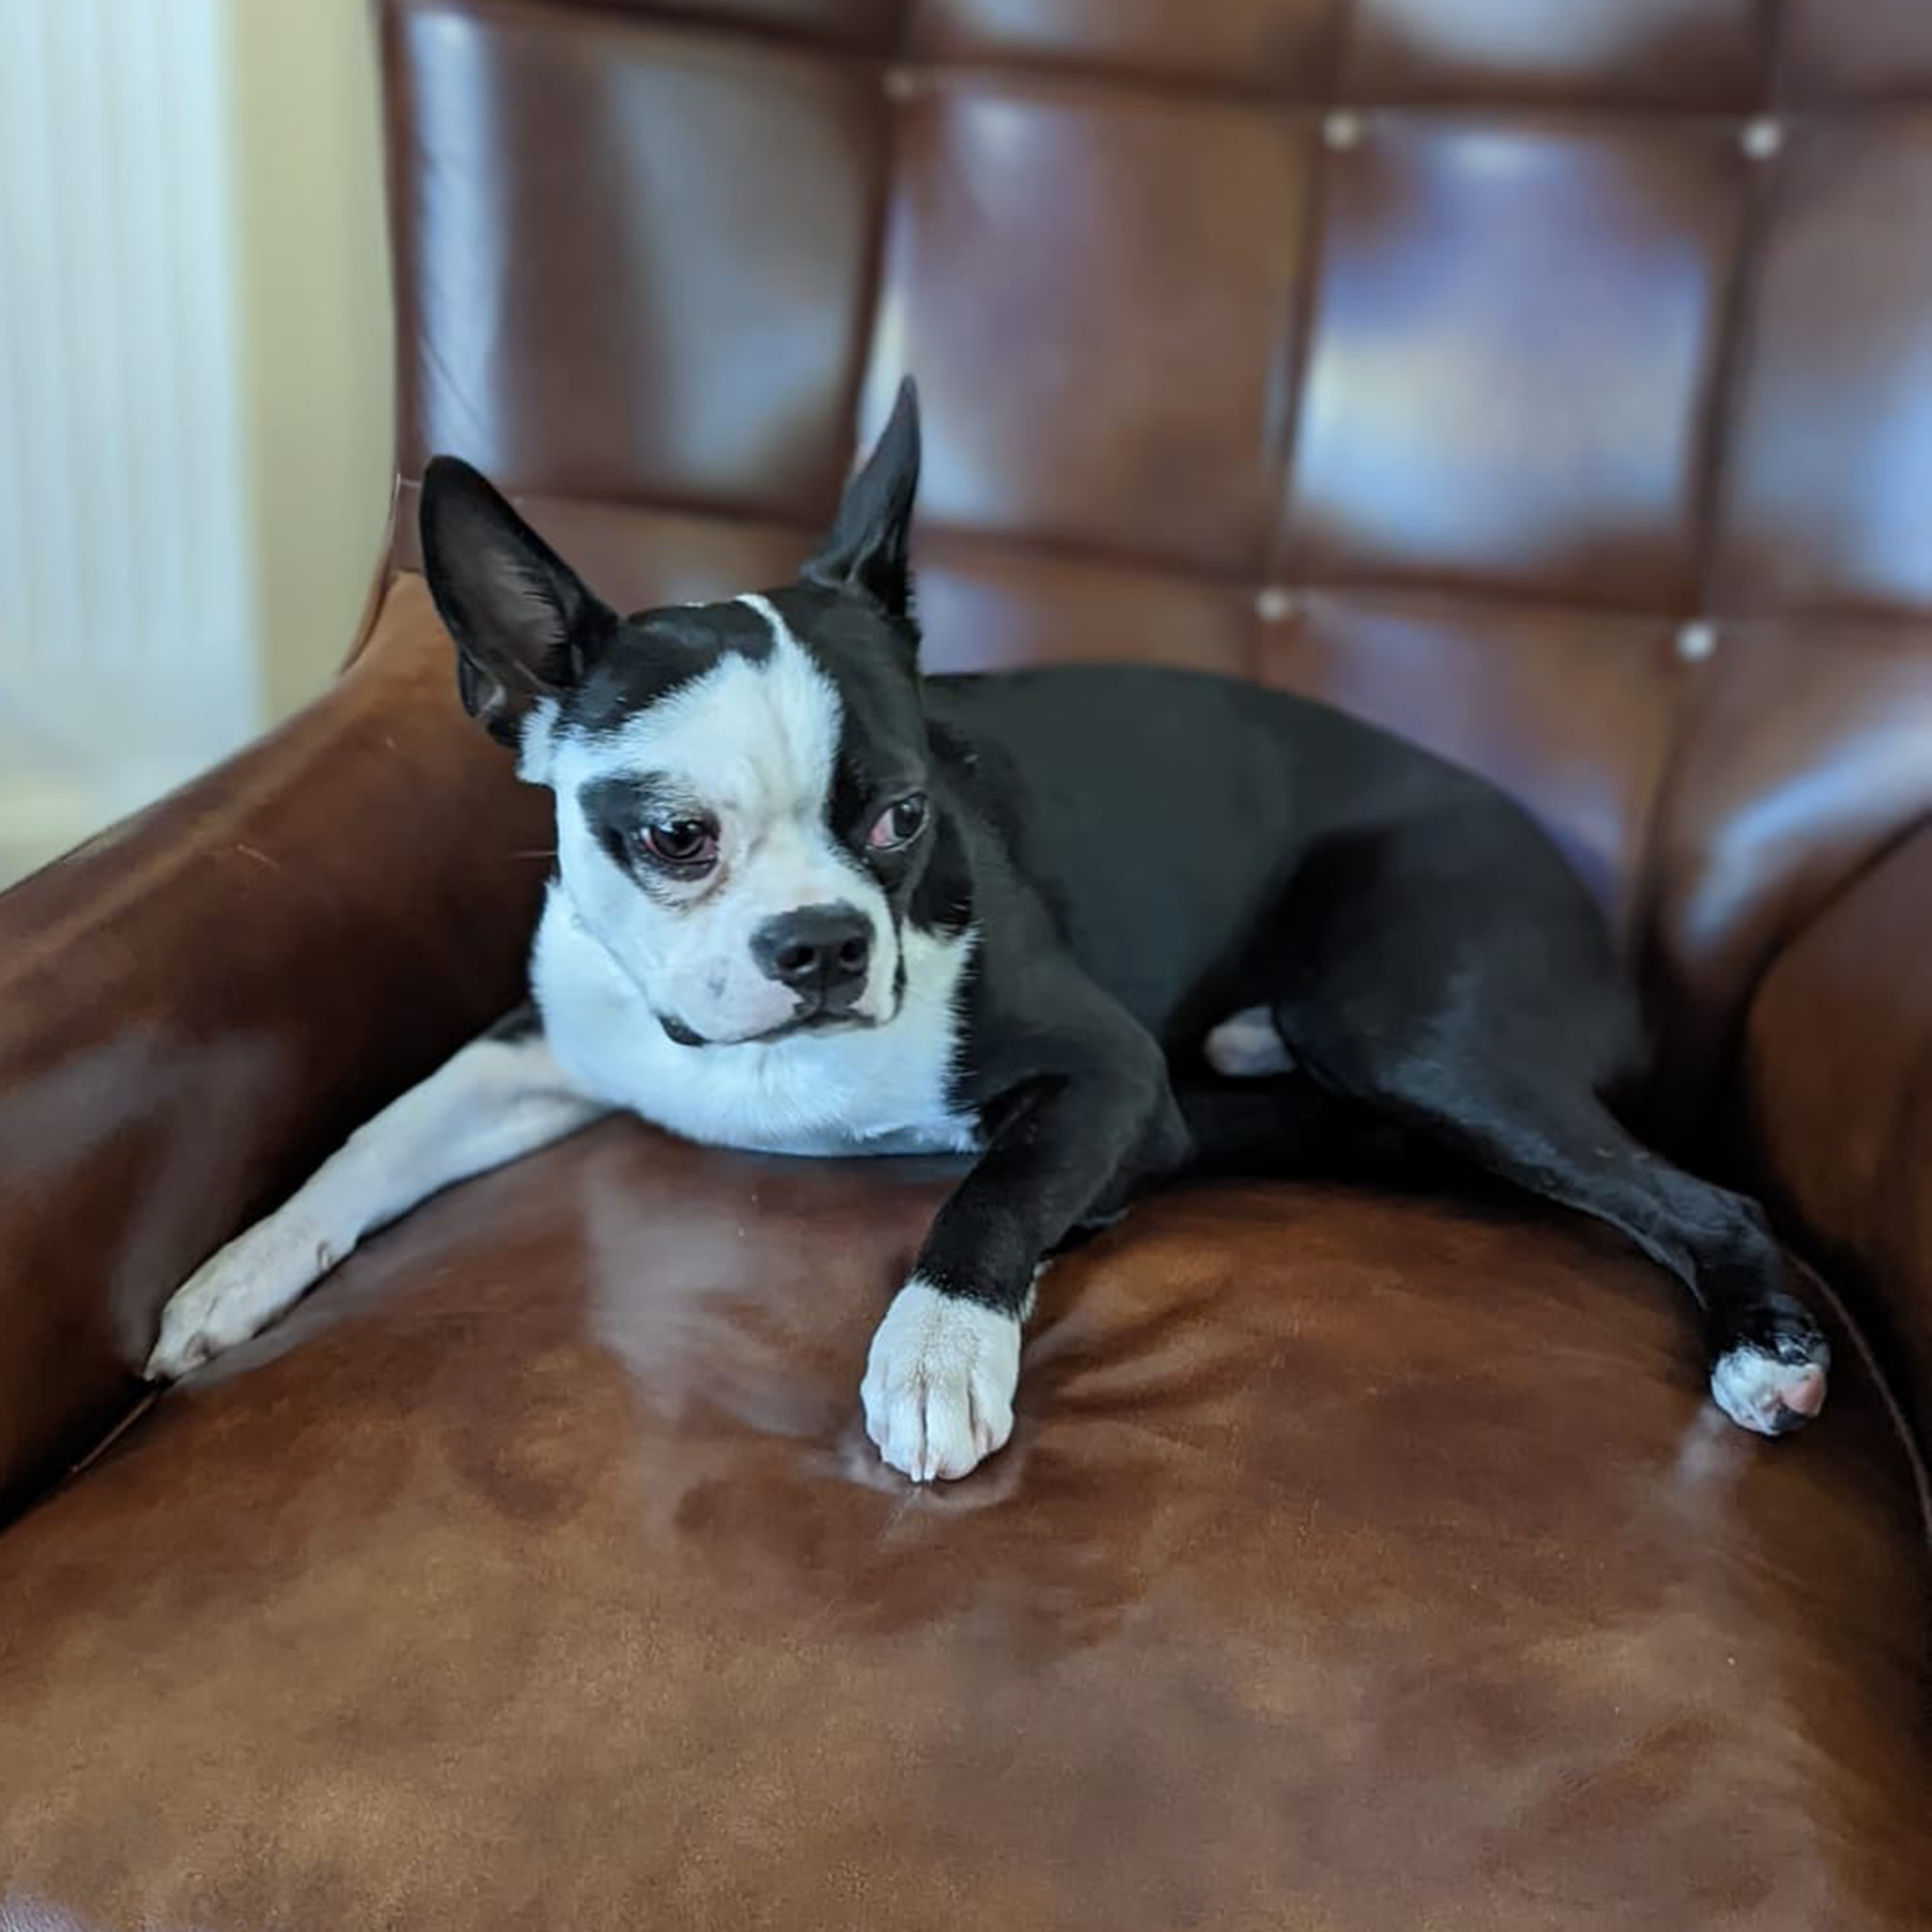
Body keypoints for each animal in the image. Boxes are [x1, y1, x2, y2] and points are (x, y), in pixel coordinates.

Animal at [147, 384, 1824, 1484]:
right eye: (675, 839)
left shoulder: (1106, 1072)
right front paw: (239, 1266)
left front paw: (938, 1351)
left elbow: (991, 1194)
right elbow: (376, 1136)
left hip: (1409, 1024)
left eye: (906, 816)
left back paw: (1770, 1350)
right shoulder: (544, 1045)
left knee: (1701, 1198)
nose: (823, 943)